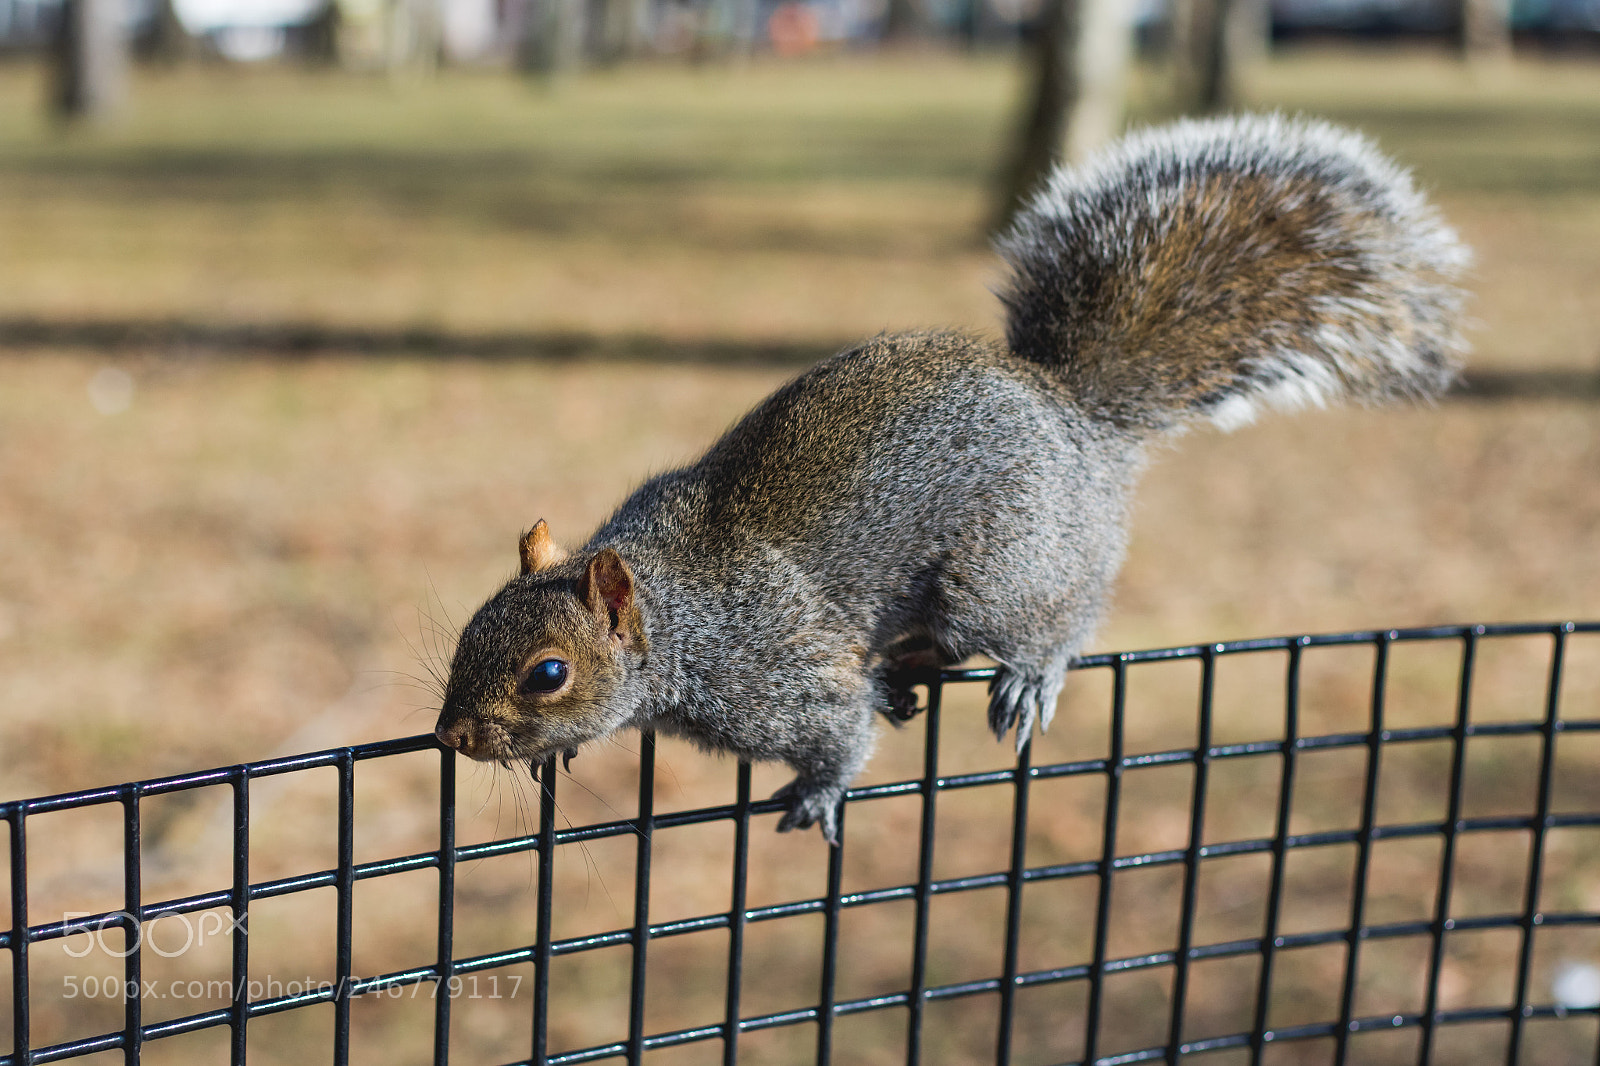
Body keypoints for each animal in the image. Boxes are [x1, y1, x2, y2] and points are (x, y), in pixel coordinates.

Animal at [432, 114, 1469, 843]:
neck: (680, 613)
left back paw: (1027, 673)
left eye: (549, 673)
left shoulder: (781, 673)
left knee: (1061, 614)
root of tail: (1077, 420)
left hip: (1003, 571)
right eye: (469, 631)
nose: (452, 737)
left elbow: (839, 734)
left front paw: (818, 794)